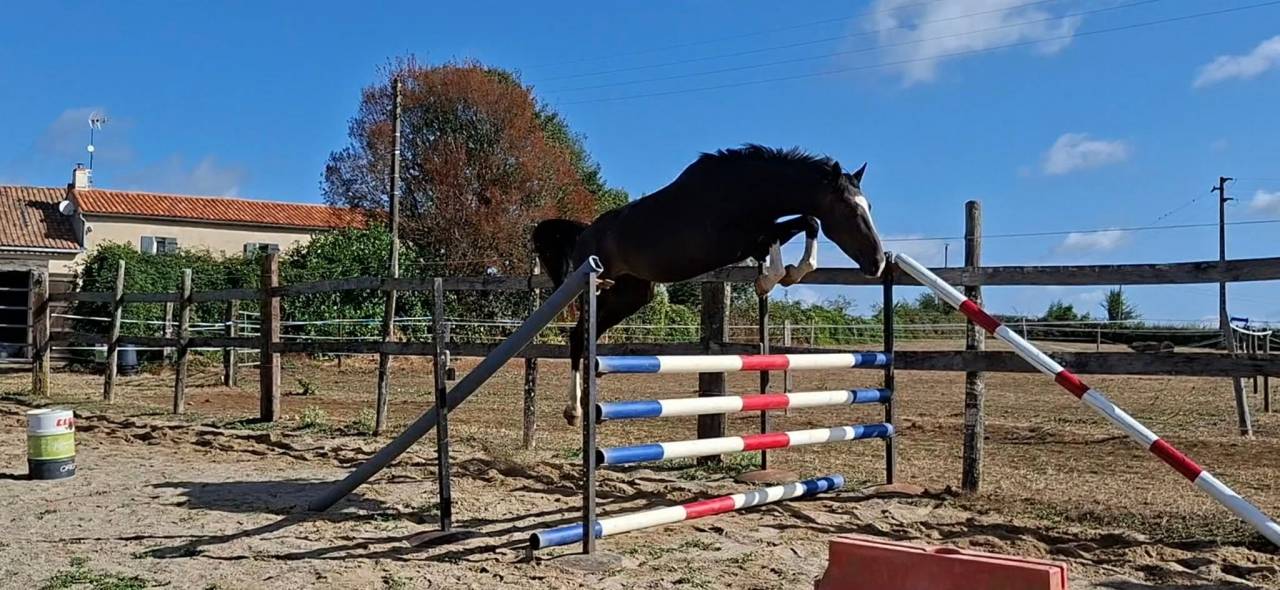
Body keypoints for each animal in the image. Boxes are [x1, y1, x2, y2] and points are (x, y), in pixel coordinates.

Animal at [533, 144, 886, 426]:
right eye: (849, 209)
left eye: (869, 207)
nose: (878, 263)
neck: (746, 191)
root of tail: (583, 233)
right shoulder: (736, 243)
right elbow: (779, 235)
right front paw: (768, 280)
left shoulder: (755, 237)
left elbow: (808, 222)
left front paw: (791, 273)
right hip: (594, 287)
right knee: (578, 337)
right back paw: (574, 411)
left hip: (631, 295)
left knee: (589, 335)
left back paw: (590, 397)